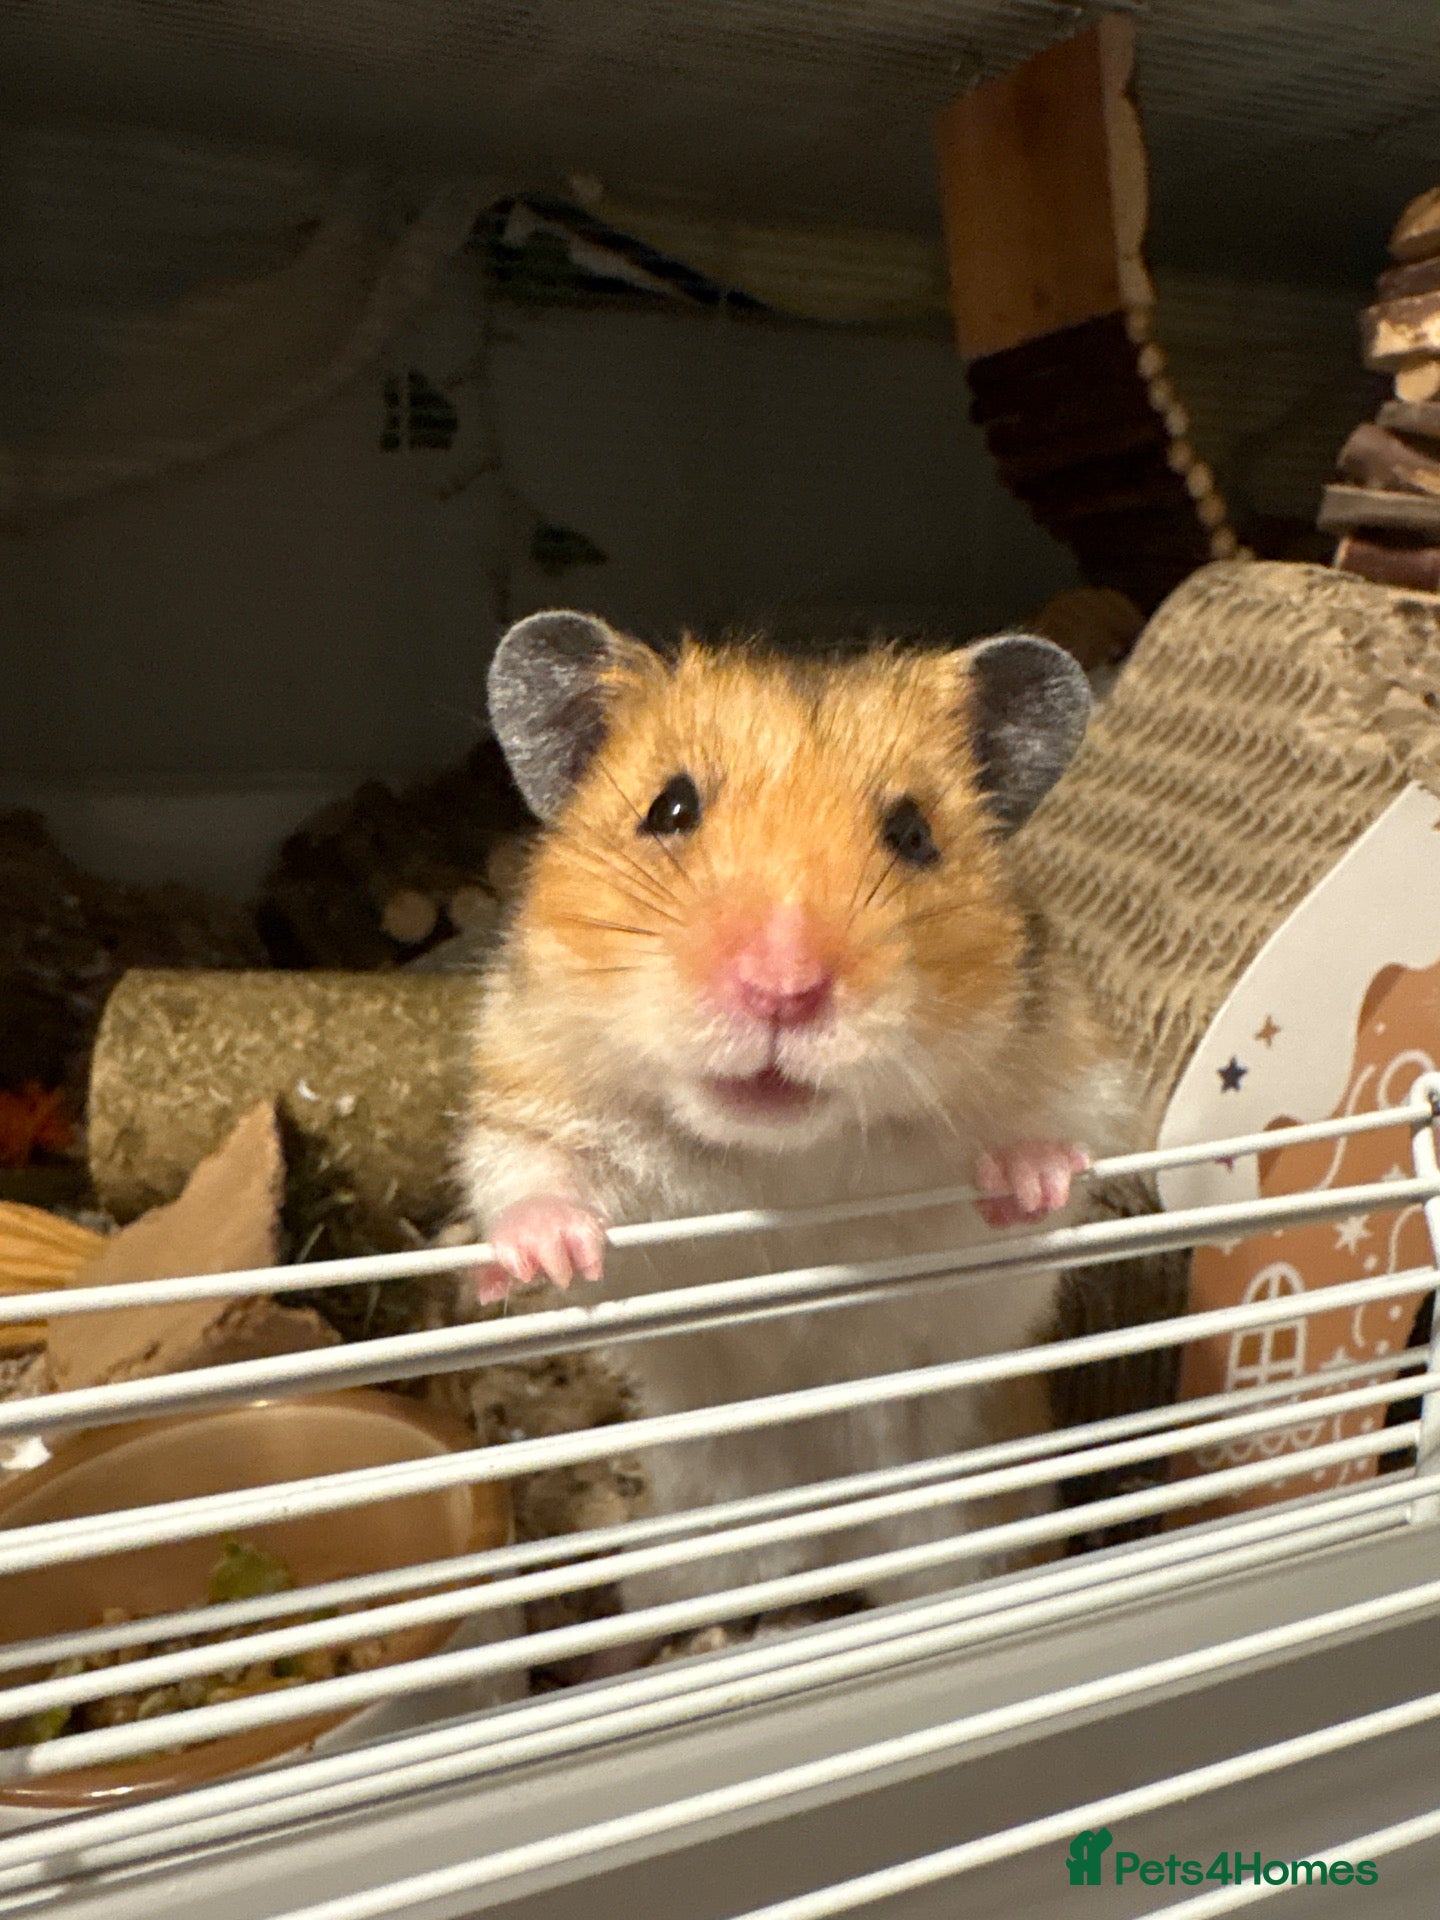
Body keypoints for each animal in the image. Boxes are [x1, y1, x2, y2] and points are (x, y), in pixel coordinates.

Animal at [459, 612, 1132, 1630]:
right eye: (669, 809)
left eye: (913, 833)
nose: (782, 988)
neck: (785, 1159)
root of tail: (818, 1548)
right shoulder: (525, 1093)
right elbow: (529, 1174)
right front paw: (555, 1256)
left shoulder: (1065, 1095)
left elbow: (1047, 1168)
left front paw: (1027, 1177)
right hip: (677, 1553)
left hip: (951, 1546)